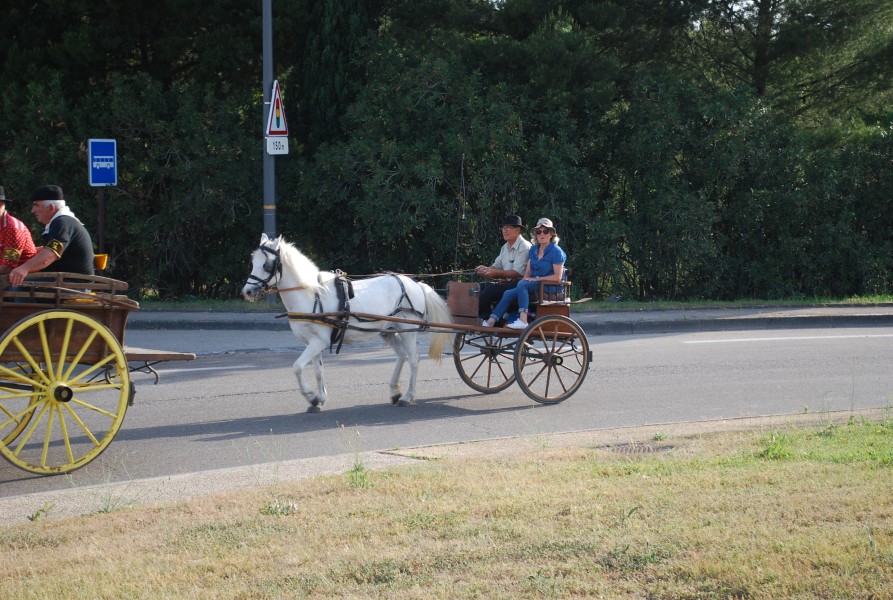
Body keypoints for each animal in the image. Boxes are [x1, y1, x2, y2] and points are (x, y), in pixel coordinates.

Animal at [239, 234, 452, 412]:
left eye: (267, 265)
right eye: (252, 262)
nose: (247, 292)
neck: (311, 294)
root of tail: (415, 284)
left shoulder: (319, 342)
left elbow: (297, 367)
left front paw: (311, 396)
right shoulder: (312, 342)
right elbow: (318, 370)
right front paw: (318, 399)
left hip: (408, 330)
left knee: (414, 359)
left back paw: (407, 396)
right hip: (388, 331)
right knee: (402, 355)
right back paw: (395, 391)